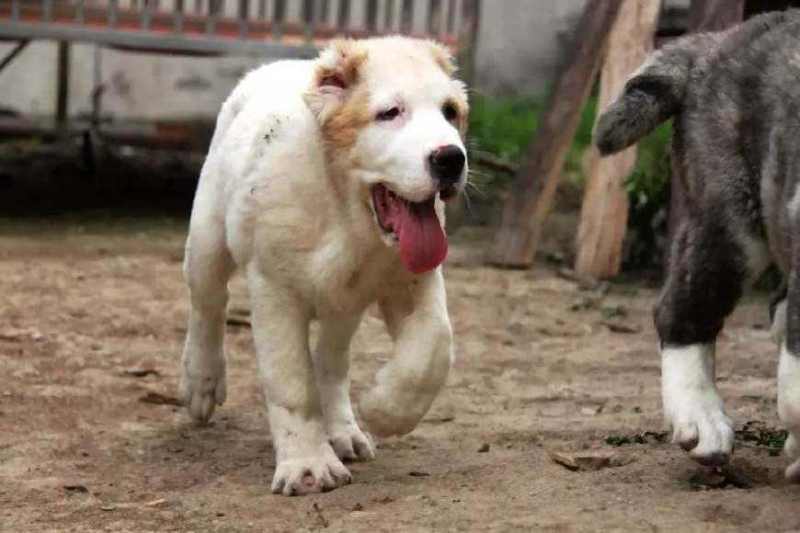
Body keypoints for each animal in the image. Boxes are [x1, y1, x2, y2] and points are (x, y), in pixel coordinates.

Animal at [180, 37, 468, 494]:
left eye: (450, 111)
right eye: (390, 113)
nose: (451, 159)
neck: (347, 214)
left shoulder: (412, 278)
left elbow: (435, 346)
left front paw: (386, 408)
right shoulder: (275, 290)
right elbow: (293, 382)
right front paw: (308, 466)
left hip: (343, 304)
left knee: (331, 359)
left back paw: (344, 431)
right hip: (208, 238)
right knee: (207, 304)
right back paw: (202, 382)